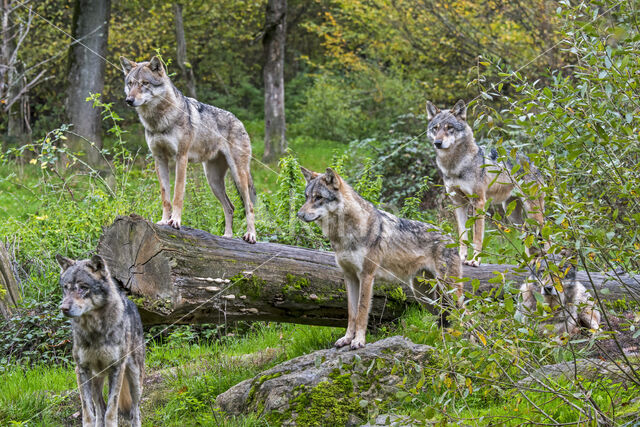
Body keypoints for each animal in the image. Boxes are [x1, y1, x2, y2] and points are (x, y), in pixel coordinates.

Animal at [56, 256, 145, 426]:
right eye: (66, 288)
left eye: (83, 288)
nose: (63, 308)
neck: (94, 331)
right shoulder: (81, 370)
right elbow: (88, 412)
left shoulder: (116, 369)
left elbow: (111, 411)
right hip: (95, 379)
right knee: (99, 407)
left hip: (135, 378)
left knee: (135, 410)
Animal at [120, 56, 258, 244]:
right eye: (131, 83)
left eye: (145, 83)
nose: (129, 100)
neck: (159, 120)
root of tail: (239, 121)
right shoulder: (159, 159)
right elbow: (165, 197)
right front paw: (163, 221)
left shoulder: (181, 158)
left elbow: (178, 194)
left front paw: (175, 221)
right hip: (213, 180)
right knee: (230, 207)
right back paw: (227, 236)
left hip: (238, 175)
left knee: (249, 206)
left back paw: (251, 235)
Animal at [298, 166, 462, 350]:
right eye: (307, 197)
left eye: (318, 197)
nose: (299, 214)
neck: (345, 234)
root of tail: (451, 237)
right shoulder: (349, 276)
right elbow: (351, 313)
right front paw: (347, 339)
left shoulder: (367, 276)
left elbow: (362, 311)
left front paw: (359, 341)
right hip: (424, 296)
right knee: (445, 317)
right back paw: (446, 344)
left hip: (448, 291)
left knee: (466, 314)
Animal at [424, 100, 544, 268]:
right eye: (436, 128)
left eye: (449, 128)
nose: (437, 143)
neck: (455, 165)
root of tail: (532, 162)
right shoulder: (458, 203)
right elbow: (462, 235)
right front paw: (461, 258)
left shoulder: (479, 202)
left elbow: (477, 237)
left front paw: (475, 260)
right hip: (513, 215)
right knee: (527, 232)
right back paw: (529, 261)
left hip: (533, 213)